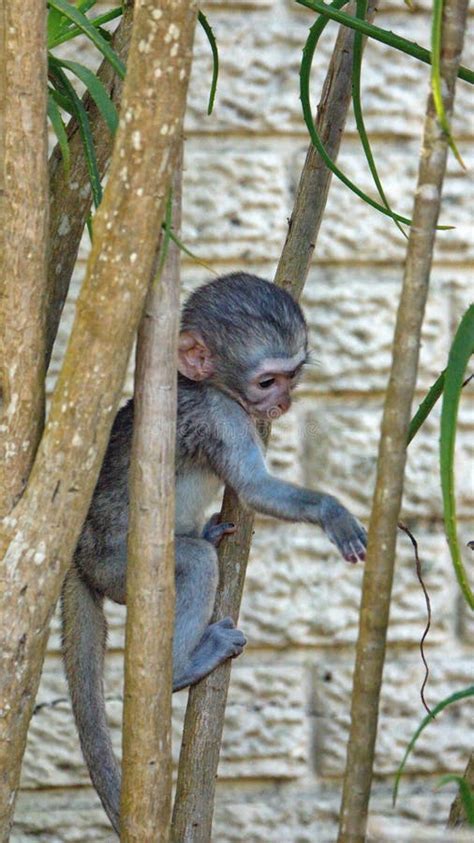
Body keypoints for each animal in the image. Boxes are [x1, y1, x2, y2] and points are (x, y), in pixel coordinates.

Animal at [62, 274, 366, 836]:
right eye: (267, 382)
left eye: (292, 375)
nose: (282, 404)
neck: (204, 386)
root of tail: (75, 552)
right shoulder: (223, 416)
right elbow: (255, 489)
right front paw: (330, 511)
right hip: (115, 564)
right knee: (197, 562)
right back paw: (184, 667)